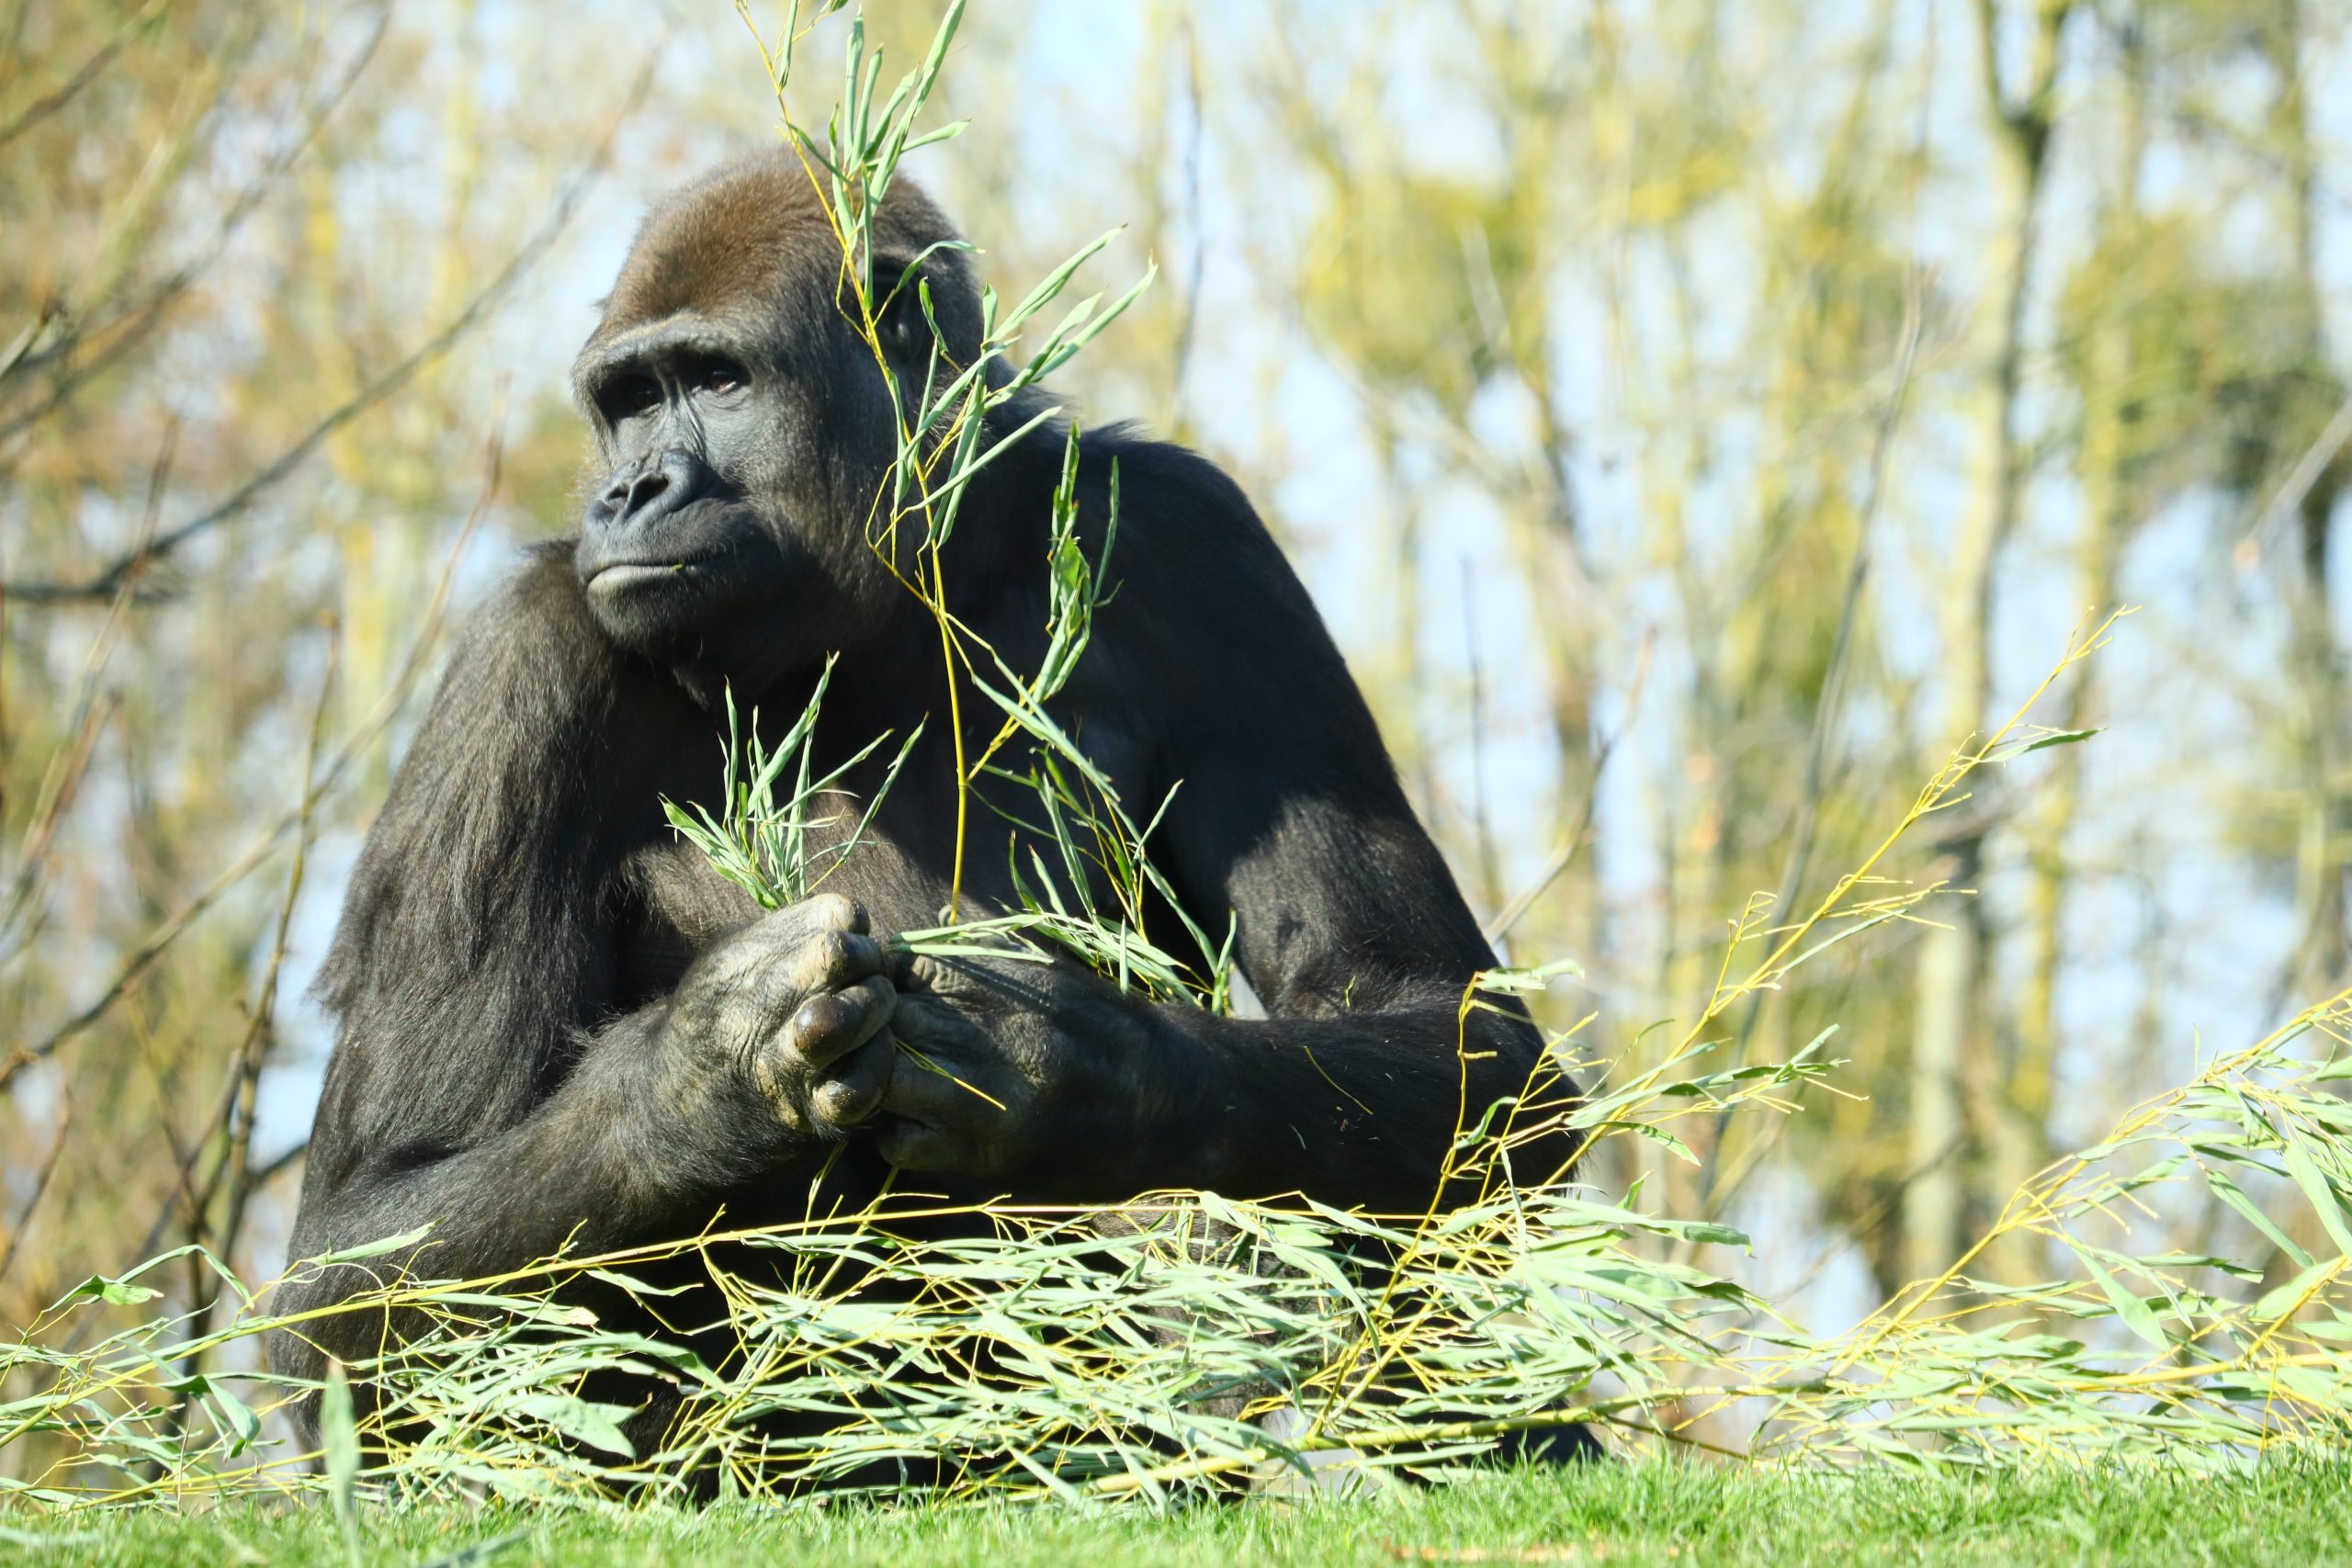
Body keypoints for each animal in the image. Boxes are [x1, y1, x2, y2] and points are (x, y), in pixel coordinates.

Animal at [270, 150, 1561, 1448]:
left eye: (717, 380)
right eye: (628, 399)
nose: (631, 489)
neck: (890, 603)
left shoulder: (1195, 538)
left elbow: (1445, 1020)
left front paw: (1074, 1073)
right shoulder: (520, 668)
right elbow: (352, 1265)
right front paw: (705, 1076)